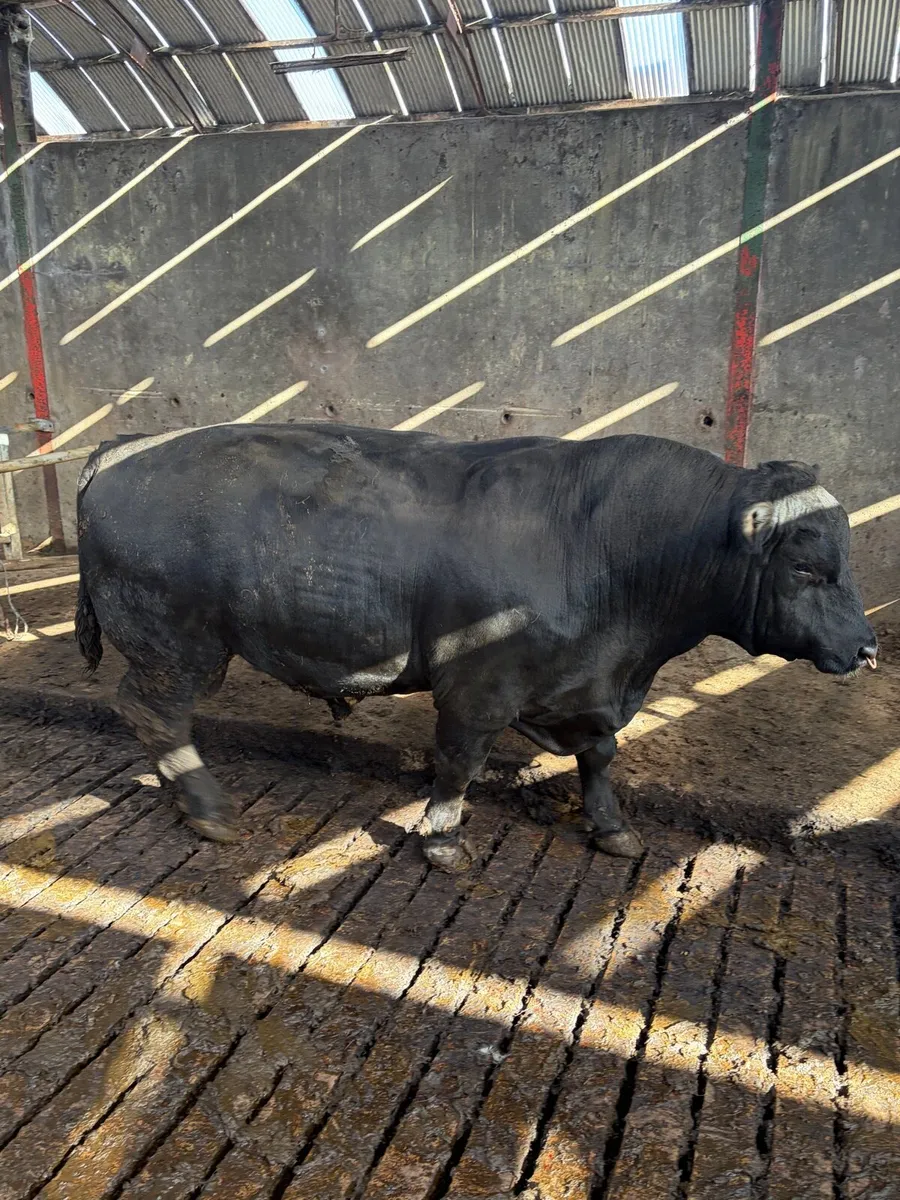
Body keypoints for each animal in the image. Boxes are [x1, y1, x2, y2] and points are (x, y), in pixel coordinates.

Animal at [74, 424, 877, 869]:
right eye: (807, 568)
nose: (868, 649)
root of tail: (125, 446)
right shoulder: (478, 686)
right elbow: (460, 762)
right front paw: (441, 841)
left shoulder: (587, 689)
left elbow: (600, 756)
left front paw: (613, 828)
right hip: (178, 648)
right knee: (152, 713)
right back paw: (208, 809)